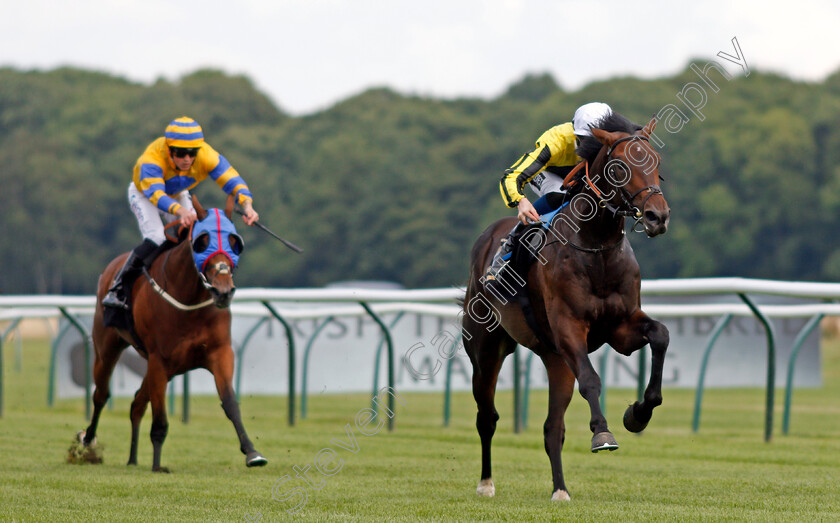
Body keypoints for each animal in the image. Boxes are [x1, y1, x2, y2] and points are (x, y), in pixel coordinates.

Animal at [81, 199, 268, 472]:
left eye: (234, 242)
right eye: (202, 241)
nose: (223, 291)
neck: (190, 297)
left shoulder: (220, 353)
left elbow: (231, 404)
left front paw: (252, 452)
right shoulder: (160, 359)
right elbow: (160, 418)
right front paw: (158, 466)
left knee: (137, 404)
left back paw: (132, 458)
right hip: (108, 348)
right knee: (101, 395)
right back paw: (87, 442)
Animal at [462, 112, 672, 502]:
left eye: (657, 163)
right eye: (620, 167)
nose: (657, 216)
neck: (596, 248)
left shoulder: (621, 328)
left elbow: (661, 335)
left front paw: (638, 413)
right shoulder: (569, 328)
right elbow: (591, 379)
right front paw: (602, 433)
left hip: (554, 359)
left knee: (552, 428)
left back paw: (560, 489)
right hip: (485, 349)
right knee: (487, 417)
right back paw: (486, 483)